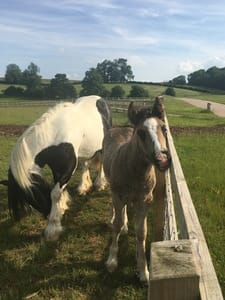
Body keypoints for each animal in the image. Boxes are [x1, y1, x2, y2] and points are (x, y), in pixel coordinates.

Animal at [0, 96, 111, 241]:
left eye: (32, 195)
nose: (47, 213)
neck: (56, 136)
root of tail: (101, 99)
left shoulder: (67, 169)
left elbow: (55, 193)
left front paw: (53, 227)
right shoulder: (56, 167)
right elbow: (57, 190)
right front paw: (62, 207)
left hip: (103, 145)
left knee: (102, 162)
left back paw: (99, 184)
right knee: (85, 164)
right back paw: (83, 187)